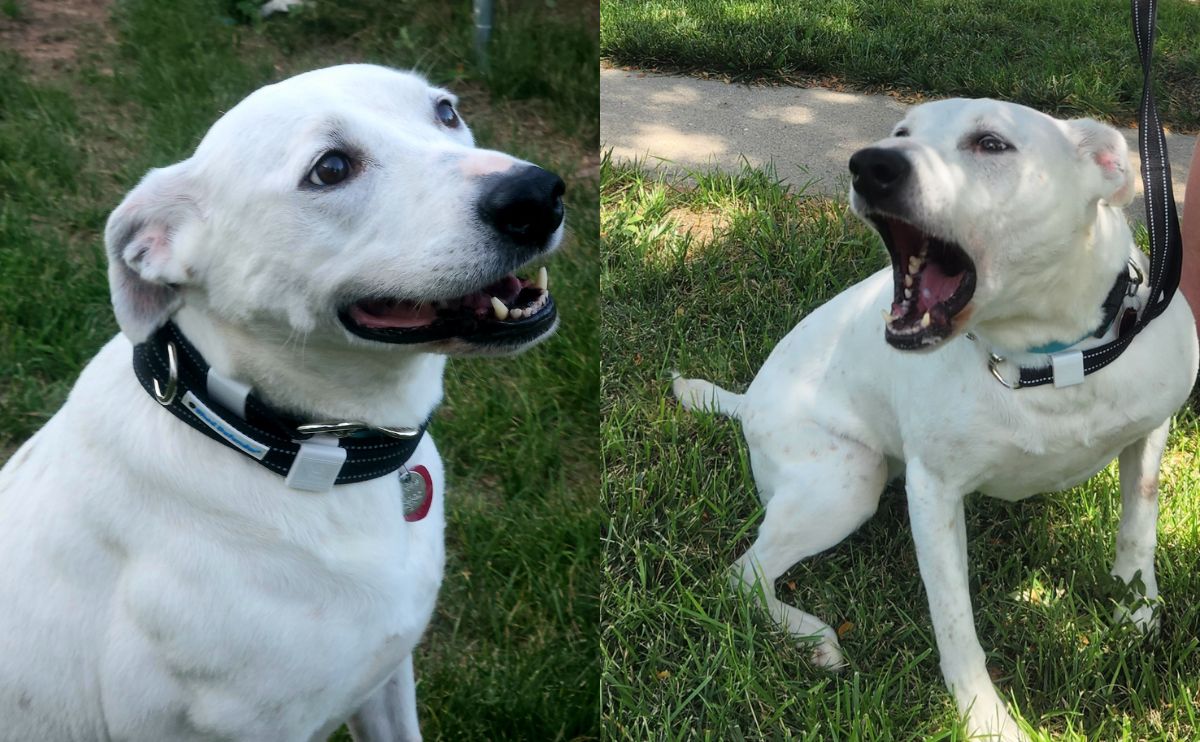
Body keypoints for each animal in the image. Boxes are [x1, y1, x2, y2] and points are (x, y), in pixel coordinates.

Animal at [676, 96, 1200, 734]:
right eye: (900, 132)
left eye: (992, 144)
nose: (870, 164)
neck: (1046, 360)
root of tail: (747, 399)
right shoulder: (933, 494)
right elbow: (954, 621)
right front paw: (986, 720)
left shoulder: (1149, 433)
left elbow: (1138, 528)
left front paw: (1137, 613)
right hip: (848, 481)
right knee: (743, 576)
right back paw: (810, 638)